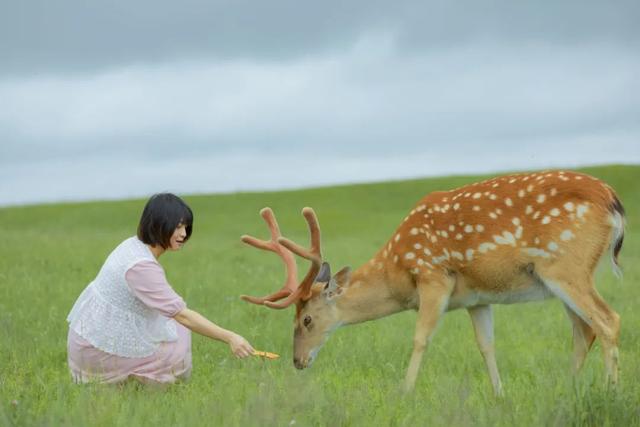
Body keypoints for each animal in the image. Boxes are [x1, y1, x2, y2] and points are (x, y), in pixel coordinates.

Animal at [240, 171, 624, 394]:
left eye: (306, 319)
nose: (297, 361)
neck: (397, 274)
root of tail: (613, 201)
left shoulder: (433, 275)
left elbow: (420, 338)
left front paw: (405, 392)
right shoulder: (477, 298)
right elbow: (486, 345)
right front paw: (499, 395)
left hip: (566, 265)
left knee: (608, 320)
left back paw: (610, 391)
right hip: (560, 277)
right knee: (584, 329)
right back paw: (568, 390)